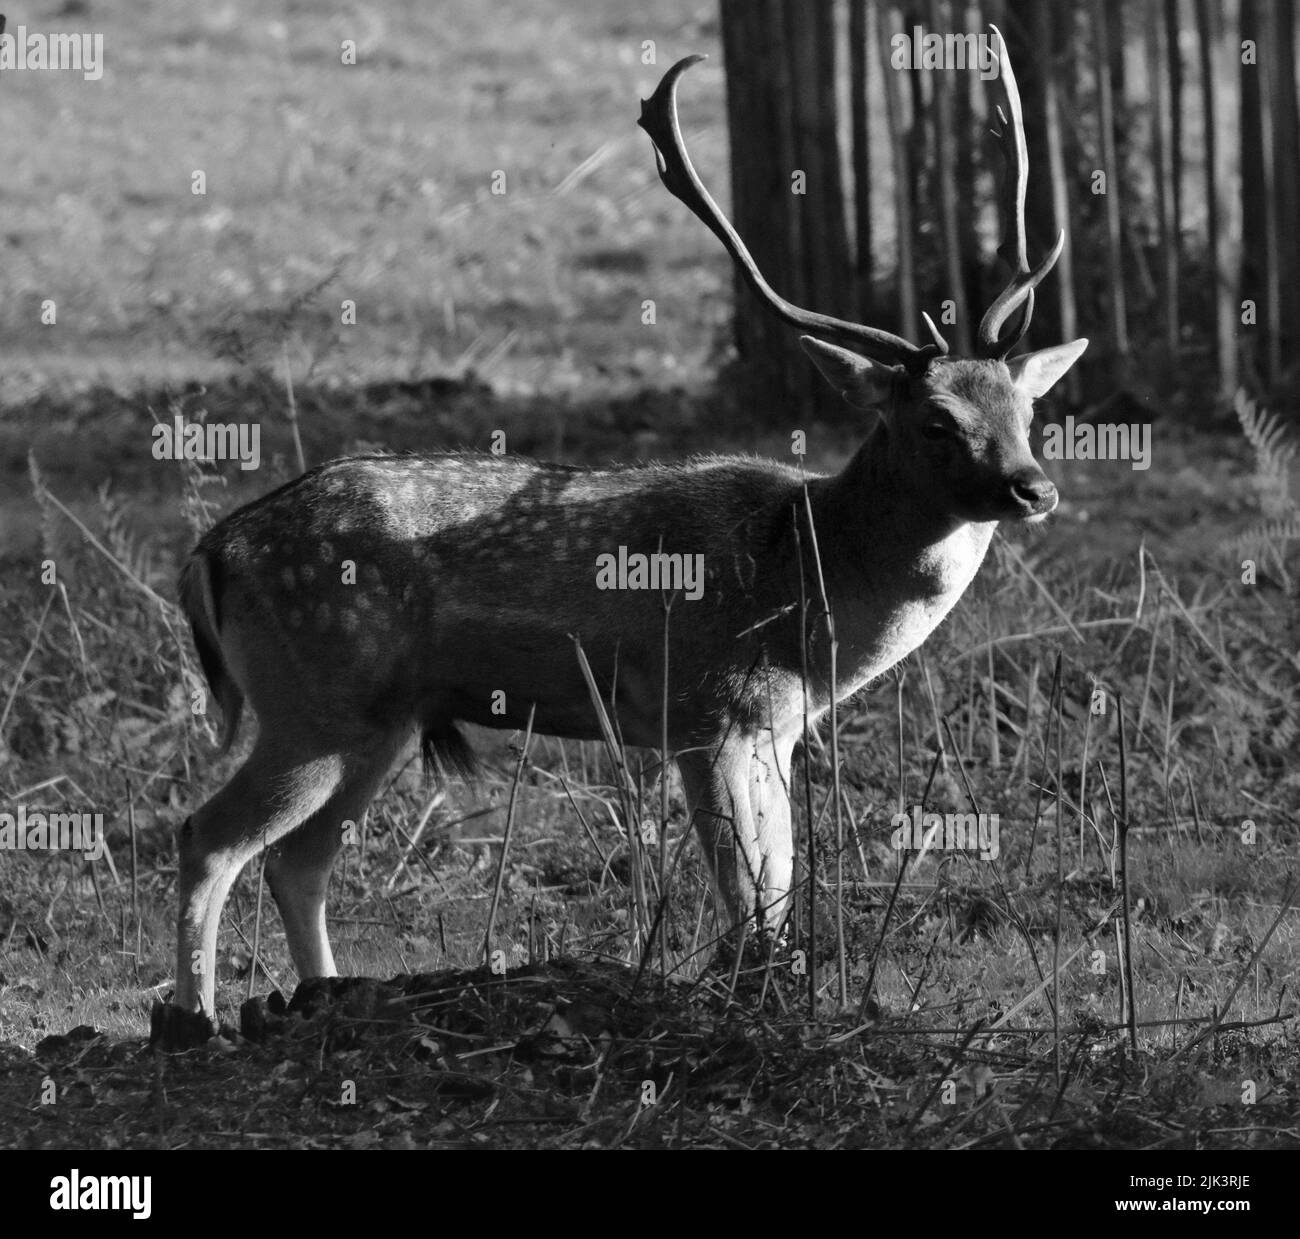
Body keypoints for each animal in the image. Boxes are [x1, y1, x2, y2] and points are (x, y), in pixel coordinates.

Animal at [154, 26, 1086, 1045]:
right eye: (934, 422)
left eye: (1026, 408)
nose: (1033, 487)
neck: (803, 579)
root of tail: (211, 553)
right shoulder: (707, 705)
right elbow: (747, 888)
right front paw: (752, 1000)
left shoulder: (775, 727)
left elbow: (779, 880)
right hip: (310, 697)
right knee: (209, 835)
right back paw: (195, 1020)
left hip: (375, 719)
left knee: (300, 858)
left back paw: (322, 1000)